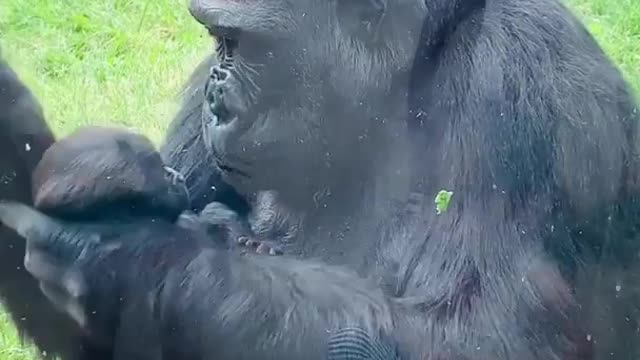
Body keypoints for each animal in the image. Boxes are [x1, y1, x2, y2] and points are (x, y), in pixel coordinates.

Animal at [158, 0, 636, 358]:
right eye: (218, 41)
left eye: (236, 42)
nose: (214, 98)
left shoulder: (516, 75)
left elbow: (478, 335)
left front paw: (180, 270)